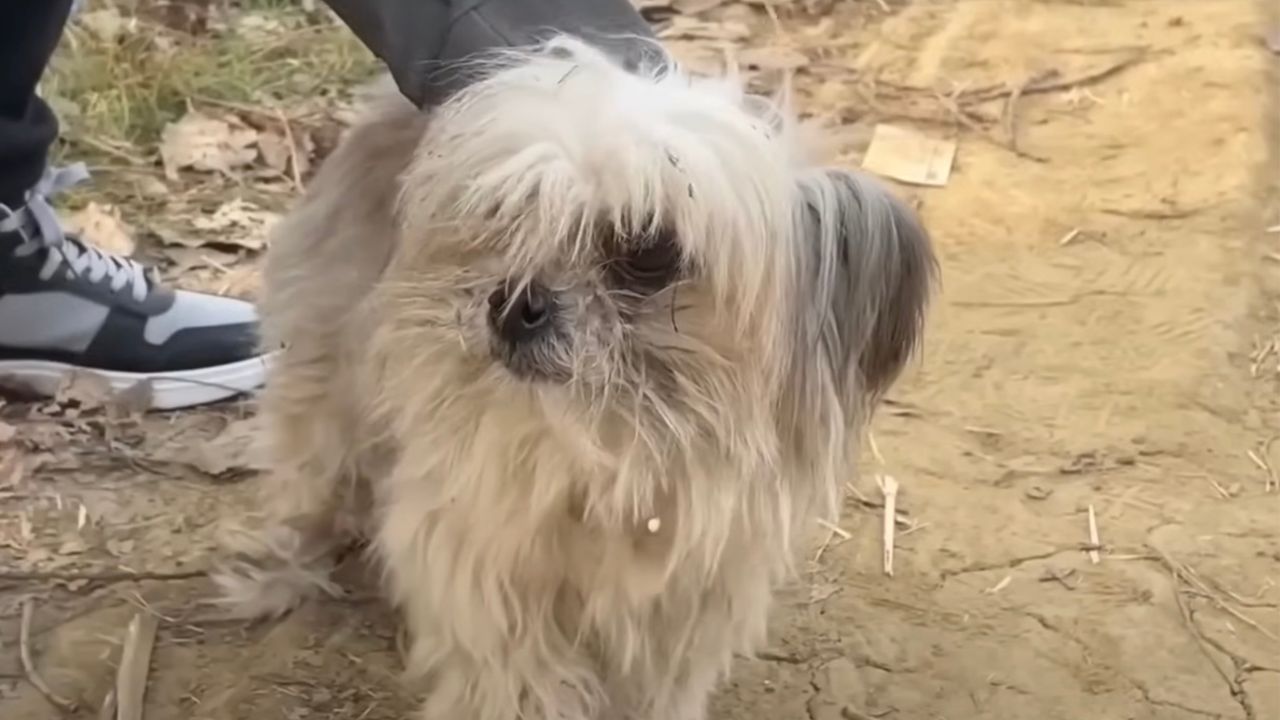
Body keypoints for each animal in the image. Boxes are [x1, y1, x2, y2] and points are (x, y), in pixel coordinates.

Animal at [215, 32, 936, 717]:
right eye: (508, 213)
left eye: (649, 248)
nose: (511, 303)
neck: (611, 442)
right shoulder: (485, 570)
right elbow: (516, 680)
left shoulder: (684, 601)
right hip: (325, 384)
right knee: (311, 479)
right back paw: (277, 572)